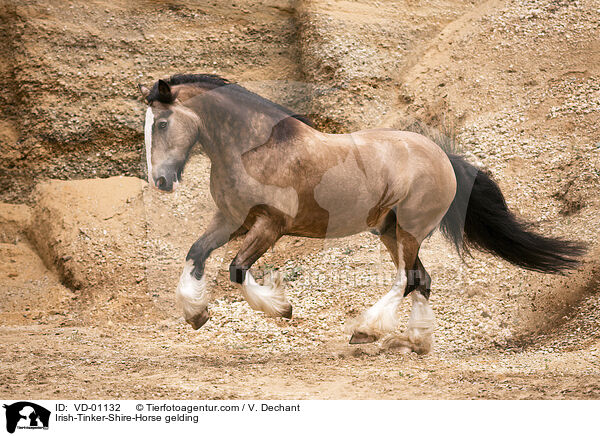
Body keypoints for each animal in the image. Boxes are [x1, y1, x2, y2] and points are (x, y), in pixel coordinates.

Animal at [138, 74, 584, 354]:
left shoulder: (270, 225)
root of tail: (443, 158)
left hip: (409, 229)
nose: (160, 180)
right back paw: (414, 342)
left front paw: (281, 308)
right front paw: (196, 314)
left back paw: (366, 331)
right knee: (421, 280)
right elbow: (196, 254)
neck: (255, 149)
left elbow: (237, 269)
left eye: (162, 123)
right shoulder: (231, 220)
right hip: (388, 230)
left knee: (408, 278)